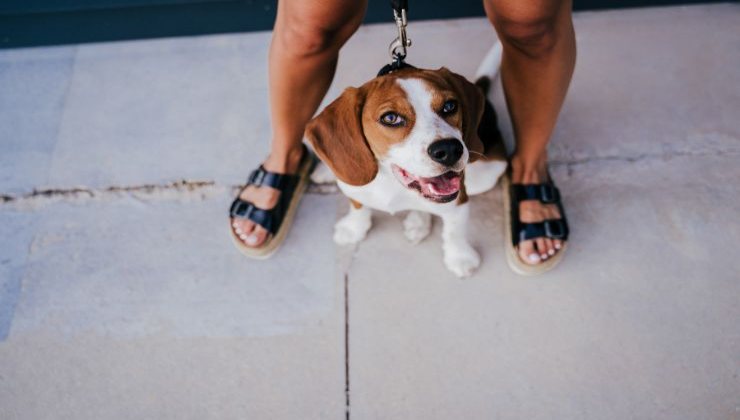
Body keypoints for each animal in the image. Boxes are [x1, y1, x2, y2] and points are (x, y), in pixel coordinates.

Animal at [306, 44, 508, 278]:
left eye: (450, 106)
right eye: (390, 118)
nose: (450, 150)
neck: (391, 183)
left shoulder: (459, 199)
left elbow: (454, 231)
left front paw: (460, 256)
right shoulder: (353, 186)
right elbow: (358, 206)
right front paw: (354, 228)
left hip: (484, 177)